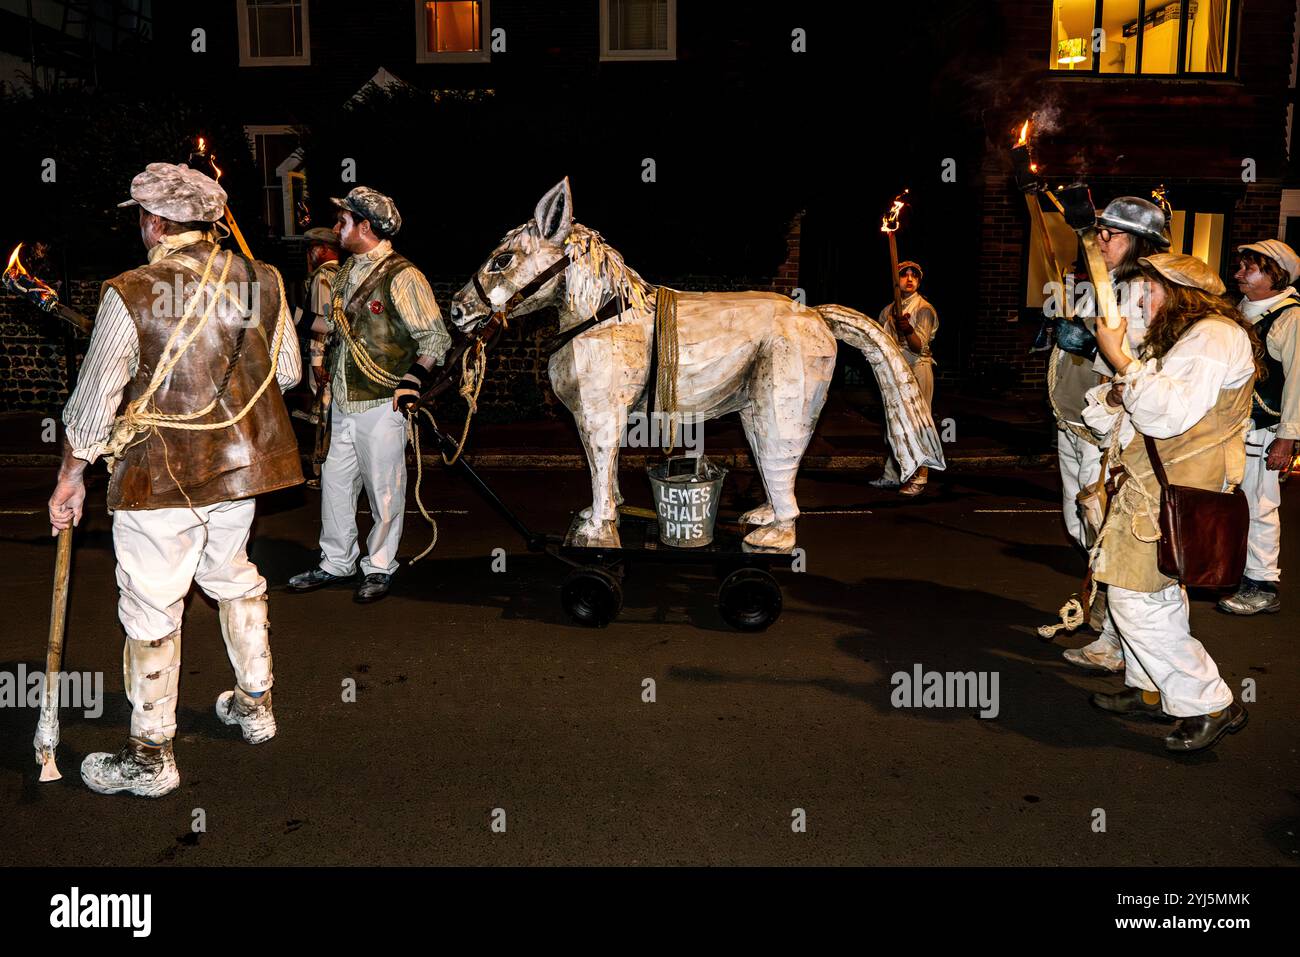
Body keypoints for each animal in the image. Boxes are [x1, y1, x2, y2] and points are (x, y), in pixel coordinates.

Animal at [449, 180, 946, 553]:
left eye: (502, 260)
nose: (457, 310)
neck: (603, 315)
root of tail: (818, 316)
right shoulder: (602, 415)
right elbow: (605, 465)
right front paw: (601, 515)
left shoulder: (598, 413)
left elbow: (599, 461)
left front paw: (596, 530)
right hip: (754, 409)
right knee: (770, 462)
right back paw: (762, 517)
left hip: (784, 406)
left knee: (781, 459)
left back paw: (774, 538)